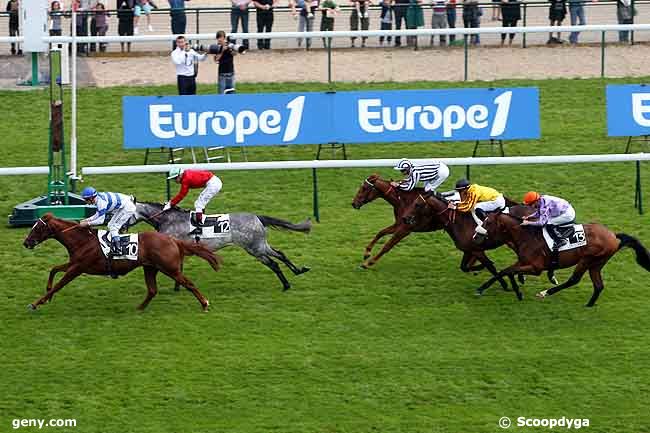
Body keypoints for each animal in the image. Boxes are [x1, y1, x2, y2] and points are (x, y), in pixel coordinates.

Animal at [22, 213, 223, 310]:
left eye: (37, 228)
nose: (26, 243)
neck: (83, 240)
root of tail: (173, 240)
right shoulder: (75, 264)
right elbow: (54, 269)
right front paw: (47, 292)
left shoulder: (77, 268)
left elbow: (59, 284)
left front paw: (37, 303)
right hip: (150, 268)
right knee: (152, 290)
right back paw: (139, 308)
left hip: (171, 269)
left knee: (189, 283)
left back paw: (204, 303)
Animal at [350, 174, 512, 288]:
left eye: (364, 188)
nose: (354, 203)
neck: (403, 200)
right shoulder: (399, 224)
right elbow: (380, 232)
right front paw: (366, 253)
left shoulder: (406, 228)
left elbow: (387, 245)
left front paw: (368, 263)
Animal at [474, 205, 648, 304]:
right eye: (484, 220)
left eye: (488, 222)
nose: (475, 236)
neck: (527, 236)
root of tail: (614, 236)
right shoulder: (523, 262)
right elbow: (506, 271)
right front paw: (516, 291)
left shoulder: (535, 268)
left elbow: (508, 271)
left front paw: (484, 289)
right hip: (596, 264)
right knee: (598, 285)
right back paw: (589, 305)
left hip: (587, 259)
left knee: (574, 280)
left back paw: (546, 293)